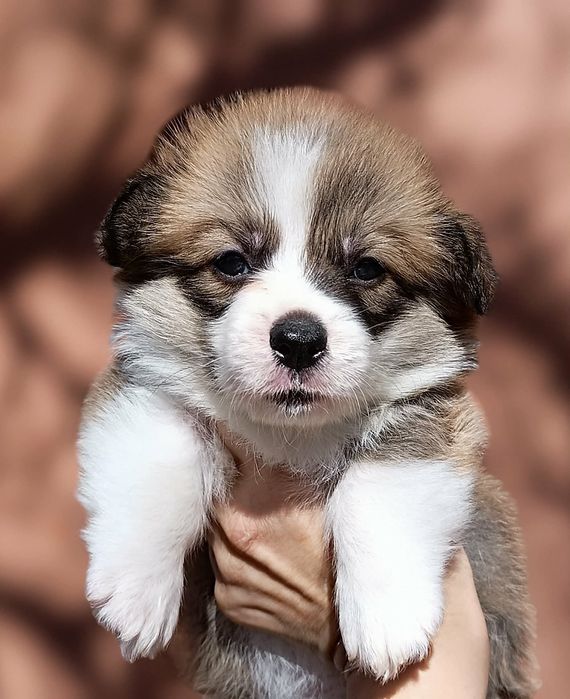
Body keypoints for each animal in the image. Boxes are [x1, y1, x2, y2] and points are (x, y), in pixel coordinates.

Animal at [78, 87, 538, 698]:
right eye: (231, 261)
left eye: (366, 268)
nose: (298, 341)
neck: (290, 435)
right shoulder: (146, 384)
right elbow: (159, 460)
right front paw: (136, 588)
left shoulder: (432, 413)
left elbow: (380, 488)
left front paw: (387, 617)